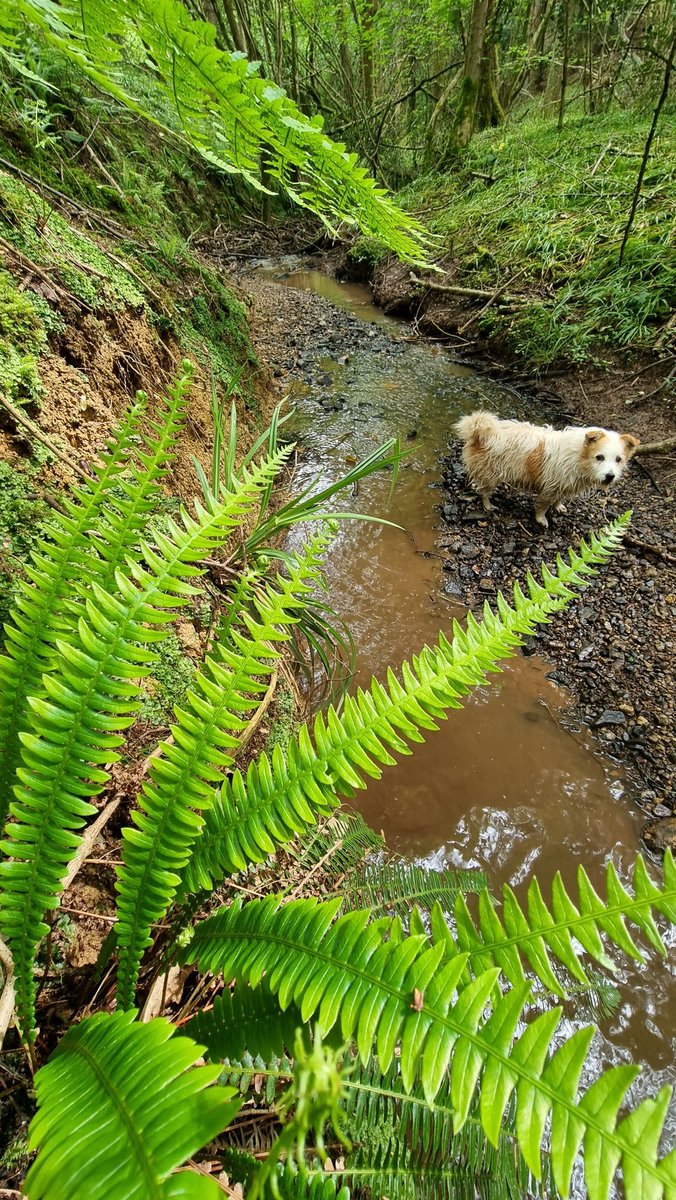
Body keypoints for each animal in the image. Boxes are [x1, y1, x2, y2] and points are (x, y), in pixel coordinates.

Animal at [453, 410, 638, 528]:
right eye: (599, 457)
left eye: (618, 459)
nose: (610, 476)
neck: (579, 456)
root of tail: (482, 432)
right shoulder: (550, 487)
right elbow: (543, 506)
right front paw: (541, 519)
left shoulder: (564, 484)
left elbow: (559, 499)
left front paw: (558, 507)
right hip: (490, 474)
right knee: (484, 492)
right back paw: (488, 505)